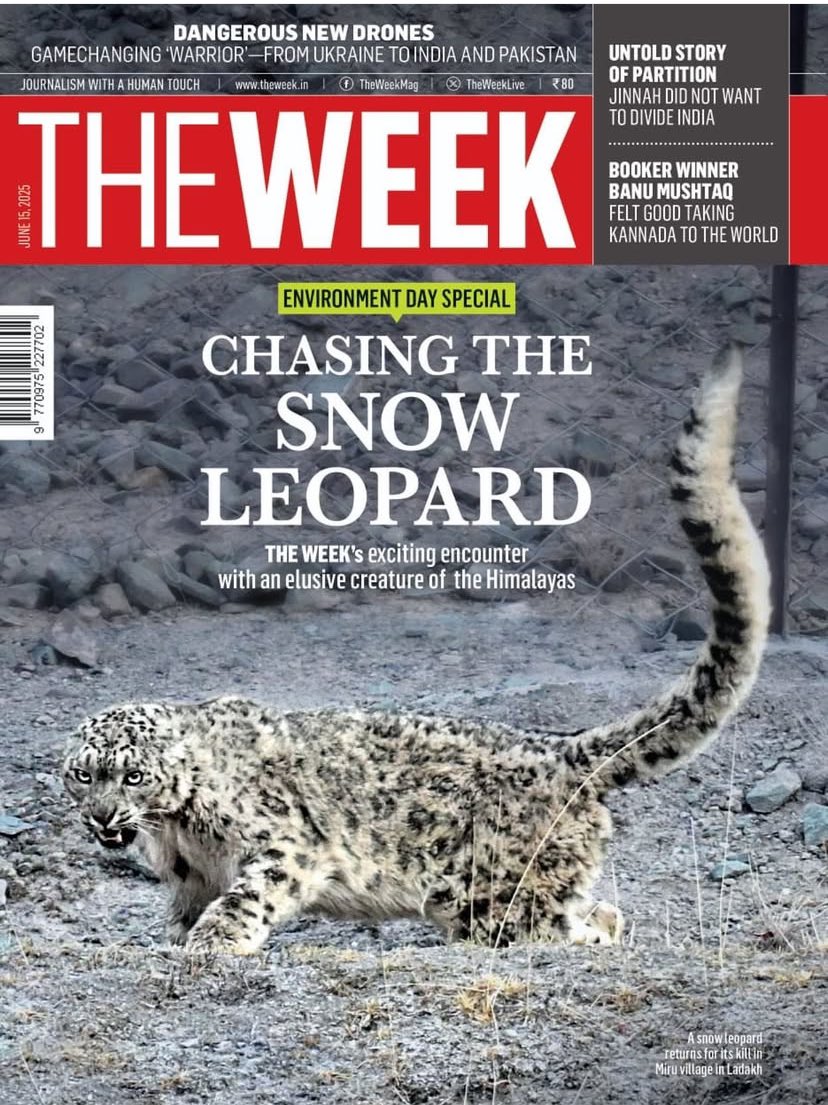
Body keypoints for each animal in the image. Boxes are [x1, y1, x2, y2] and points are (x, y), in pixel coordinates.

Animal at [62, 346, 770, 957]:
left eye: (133, 774)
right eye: (83, 774)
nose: (103, 818)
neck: (177, 831)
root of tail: (559, 750)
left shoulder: (282, 845)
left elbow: (248, 896)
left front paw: (213, 944)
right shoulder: (191, 876)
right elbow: (186, 911)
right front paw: (179, 938)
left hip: (491, 897)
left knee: (560, 929)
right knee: (602, 913)